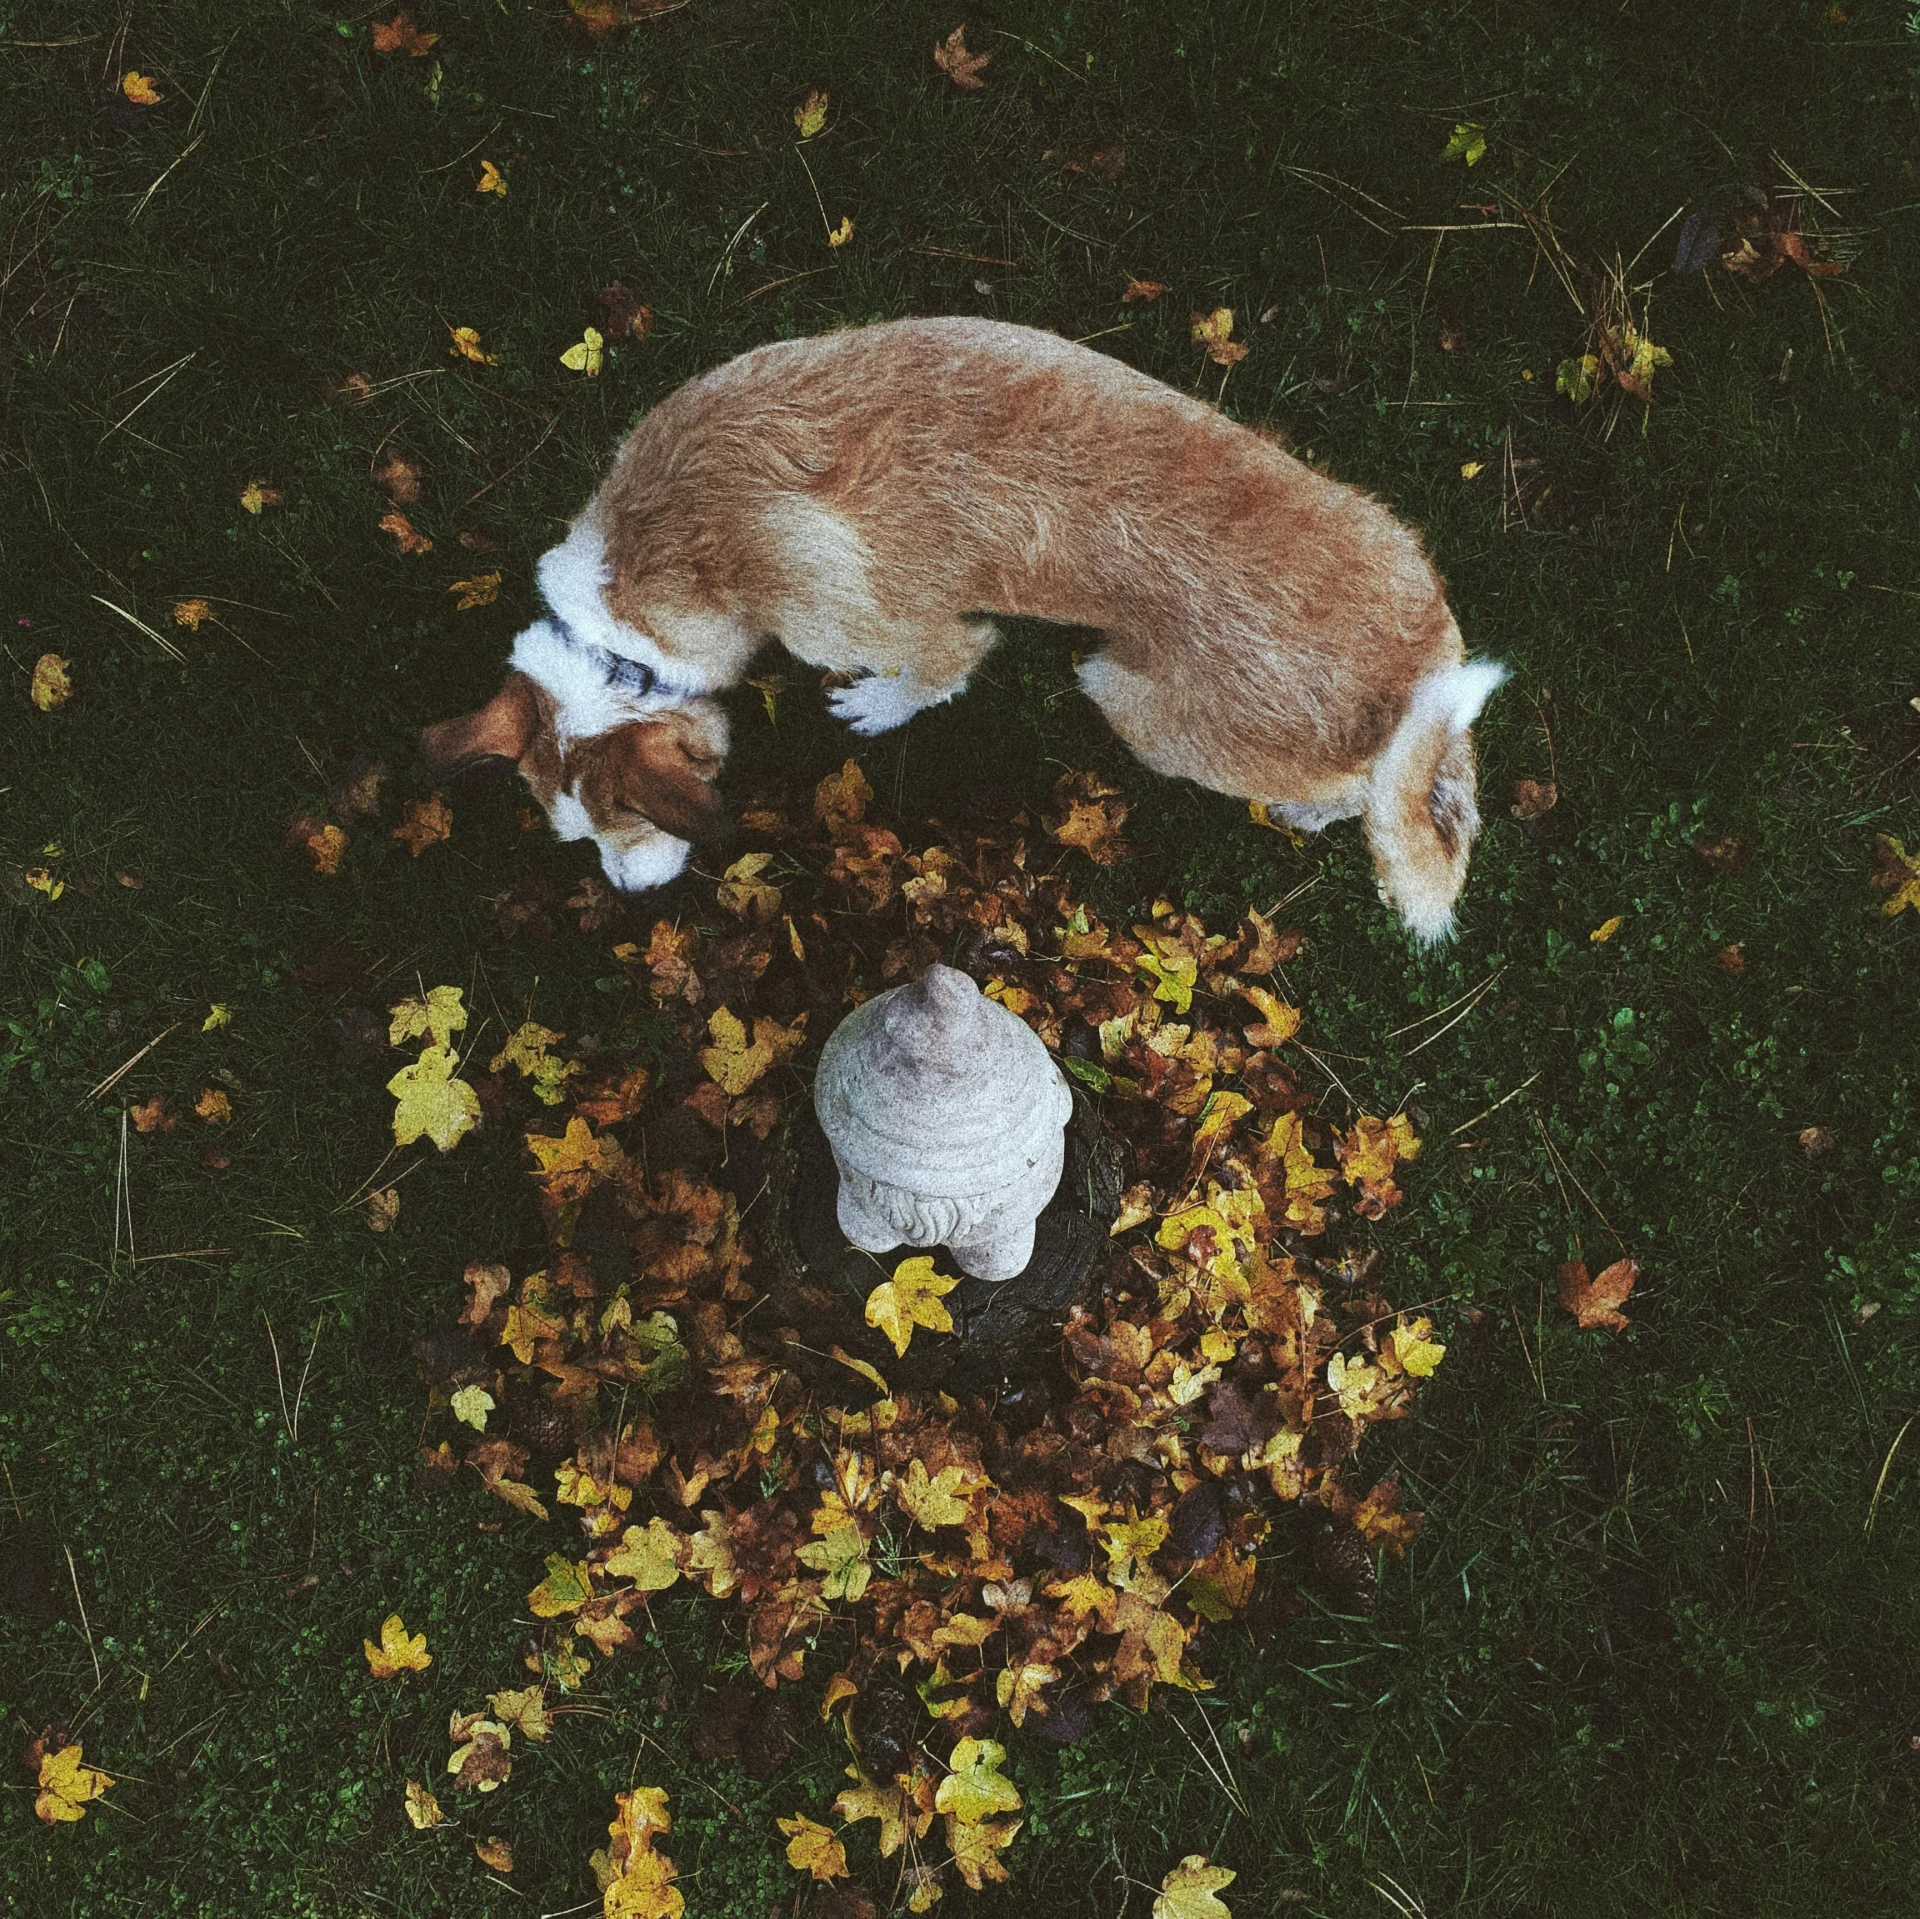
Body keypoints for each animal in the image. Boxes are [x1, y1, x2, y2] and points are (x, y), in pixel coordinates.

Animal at [428, 318, 1505, 941]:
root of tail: (1421, 659)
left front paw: (880, 706)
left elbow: (940, 668)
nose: (630, 896)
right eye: (574, 837)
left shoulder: (889, 626)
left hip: (1133, 700)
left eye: (628, 827)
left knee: (1355, 787)